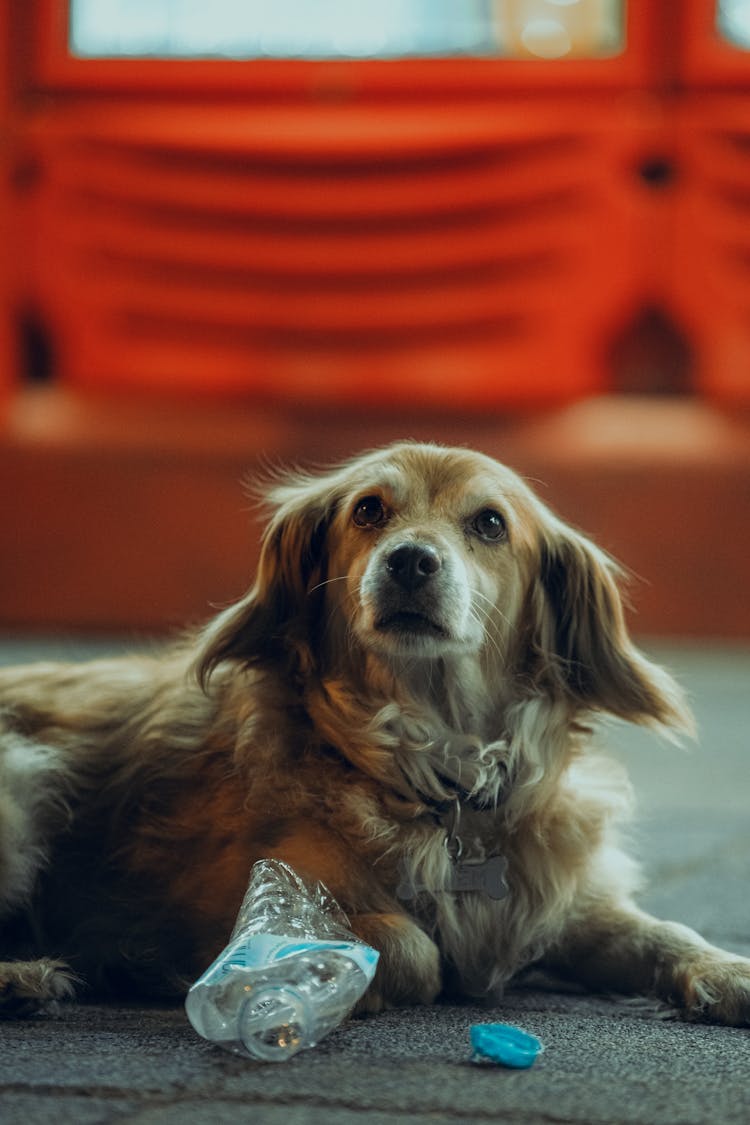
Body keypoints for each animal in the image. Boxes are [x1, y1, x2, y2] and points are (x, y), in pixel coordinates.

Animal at [1, 443, 750, 1026]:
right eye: (368, 510)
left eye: (489, 523)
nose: (411, 560)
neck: (438, 774)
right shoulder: (241, 903)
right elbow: (413, 947)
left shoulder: (559, 901)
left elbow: (658, 930)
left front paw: (726, 969)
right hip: (24, 786)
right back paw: (24, 977)